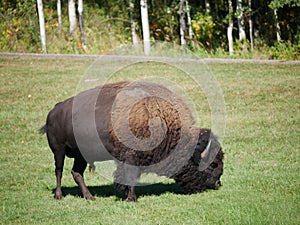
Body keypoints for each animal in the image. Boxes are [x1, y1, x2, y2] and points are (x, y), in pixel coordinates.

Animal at [39, 80, 223, 201]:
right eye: (213, 164)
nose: (217, 184)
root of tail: (54, 110)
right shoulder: (130, 157)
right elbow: (129, 176)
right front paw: (131, 198)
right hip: (59, 151)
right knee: (59, 171)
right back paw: (59, 196)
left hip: (81, 155)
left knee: (77, 173)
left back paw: (89, 197)